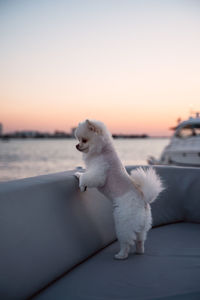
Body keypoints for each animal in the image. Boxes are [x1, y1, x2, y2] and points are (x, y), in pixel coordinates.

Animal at [75, 120, 164, 258]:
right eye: (78, 139)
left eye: (84, 140)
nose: (76, 145)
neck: (102, 150)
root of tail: (143, 199)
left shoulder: (98, 172)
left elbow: (86, 177)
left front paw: (80, 179)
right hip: (142, 225)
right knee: (140, 239)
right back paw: (139, 251)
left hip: (124, 222)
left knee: (126, 241)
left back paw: (121, 255)